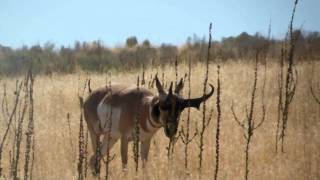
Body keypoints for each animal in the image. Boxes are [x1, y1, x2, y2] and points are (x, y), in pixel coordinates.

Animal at [84, 75, 215, 171]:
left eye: (181, 108)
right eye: (162, 106)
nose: (171, 130)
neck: (141, 106)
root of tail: (89, 97)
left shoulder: (146, 140)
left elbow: (144, 165)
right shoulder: (125, 139)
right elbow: (125, 164)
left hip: (111, 137)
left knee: (93, 159)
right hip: (95, 134)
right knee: (95, 158)